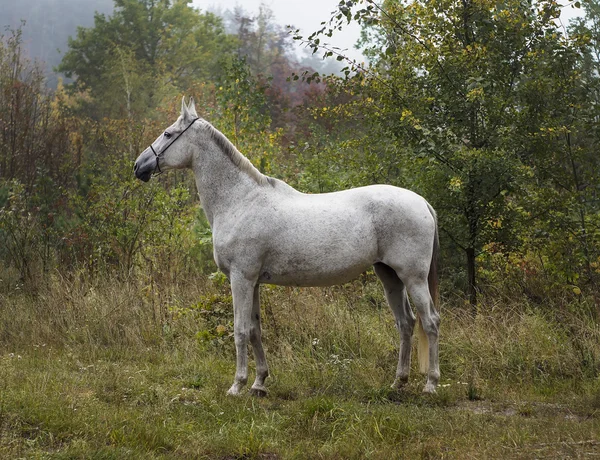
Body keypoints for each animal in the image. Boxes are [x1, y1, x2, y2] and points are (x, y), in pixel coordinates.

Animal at [134, 97, 438, 396]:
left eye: (168, 134)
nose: (139, 166)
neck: (240, 200)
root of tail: (422, 201)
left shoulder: (241, 278)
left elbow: (240, 330)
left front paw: (237, 385)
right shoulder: (254, 281)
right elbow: (254, 329)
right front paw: (259, 383)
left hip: (413, 278)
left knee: (430, 322)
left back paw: (431, 385)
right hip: (389, 276)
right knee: (406, 323)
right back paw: (398, 382)